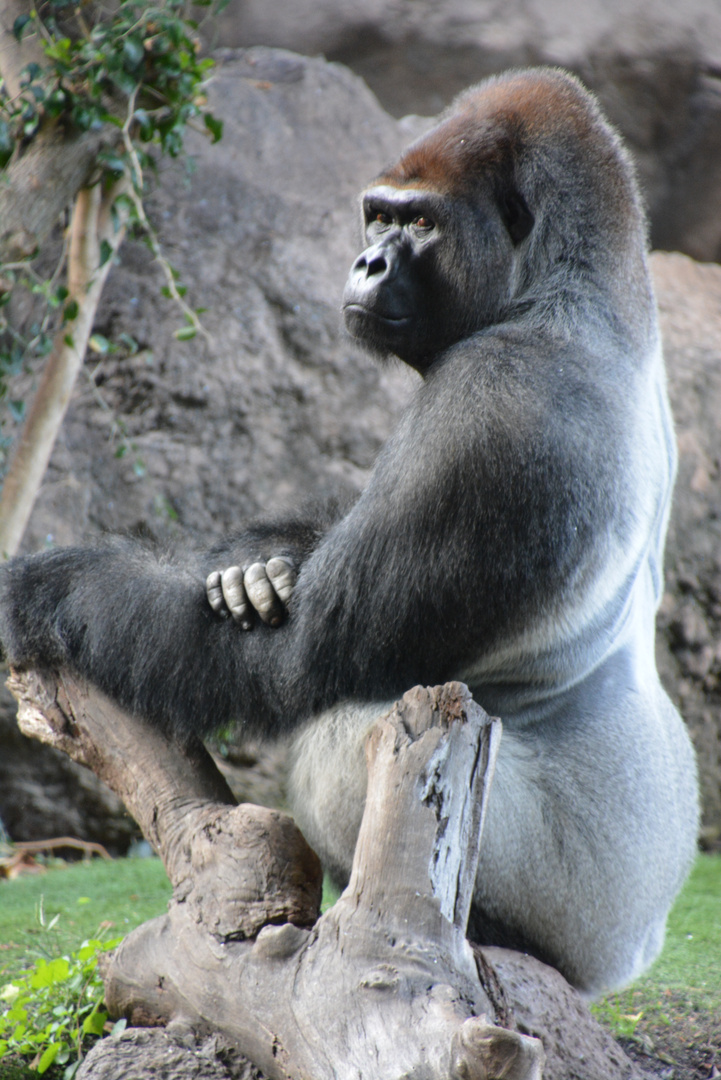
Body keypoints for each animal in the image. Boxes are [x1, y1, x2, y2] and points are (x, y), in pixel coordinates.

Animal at [0, 67, 699, 993]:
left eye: (420, 223)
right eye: (377, 216)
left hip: (582, 917)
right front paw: (255, 564)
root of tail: (636, 942)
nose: (366, 261)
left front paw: (44, 587)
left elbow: (302, 658)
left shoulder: (497, 398)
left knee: (341, 733)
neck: (577, 287)